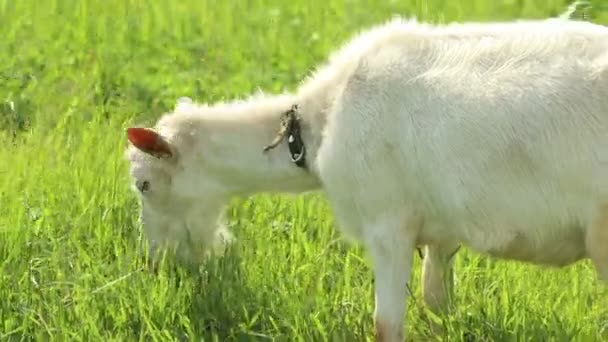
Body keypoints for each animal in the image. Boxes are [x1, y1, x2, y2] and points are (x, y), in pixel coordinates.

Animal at [124, 13, 608, 342]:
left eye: (144, 185)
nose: (156, 267)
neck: (317, 126)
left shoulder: (386, 222)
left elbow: (385, 325)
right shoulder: (442, 227)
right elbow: (437, 305)